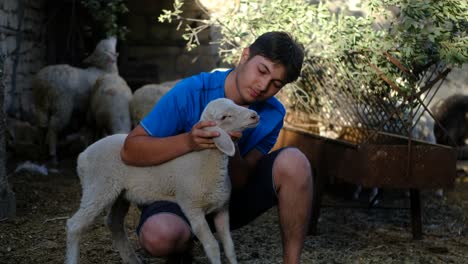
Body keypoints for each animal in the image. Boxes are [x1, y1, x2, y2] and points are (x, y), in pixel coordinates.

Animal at [31, 35, 118, 163]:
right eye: (106, 44)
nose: (113, 36)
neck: (104, 70)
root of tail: (43, 82)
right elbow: (98, 129)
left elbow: (92, 129)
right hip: (62, 104)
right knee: (53, 128)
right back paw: (53, 155)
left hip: (40, 103)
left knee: (42, 126)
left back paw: (42, 152)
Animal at [65, 98, 260, 264]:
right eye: (224, 117)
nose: (254, 115)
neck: (204, 162)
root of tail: (82, 156)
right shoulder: (192, 208)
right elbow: (212, 246)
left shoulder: (222, 208)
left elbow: (229, 246)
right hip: (98, 187)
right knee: (74, 225)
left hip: (120, 194)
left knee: (113, 223)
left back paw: (132, 259)